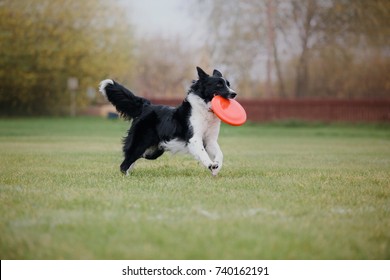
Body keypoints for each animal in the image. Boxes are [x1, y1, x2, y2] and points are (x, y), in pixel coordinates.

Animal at [99, 66, 236, 176]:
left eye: (228, 84)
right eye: (219, 84)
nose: (234, 94)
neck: (205, 109)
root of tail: (145, 106)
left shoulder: (210, 140)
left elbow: (220, 154)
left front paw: (216, 167)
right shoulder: (194, 139)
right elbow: (202, 153)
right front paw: (210, 165)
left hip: (153, 151)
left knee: (133, 158)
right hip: (141, 142)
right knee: (125, 162)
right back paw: (127, 176)